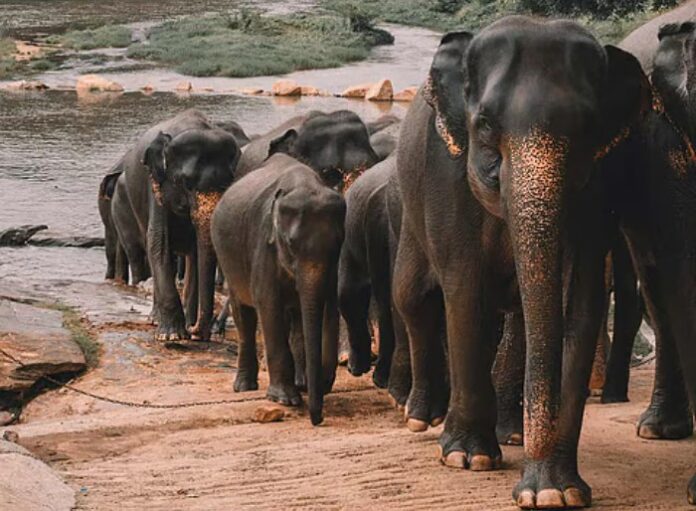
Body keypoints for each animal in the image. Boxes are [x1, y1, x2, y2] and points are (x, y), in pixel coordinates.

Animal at [116, 109, 241, 342]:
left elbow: (198, 253)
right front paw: (172, 336)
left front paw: (191, 332)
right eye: (186, 184)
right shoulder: (155, 185)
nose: (196, 330)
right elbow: (158, 243)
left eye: (228, 183)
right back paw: (156, 320)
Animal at [211, 153, 346, 426]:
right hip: (228, 257)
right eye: (291, 244)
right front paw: (285, 399)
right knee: (244, 312)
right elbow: (268, 304)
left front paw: (308, 387)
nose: (317, 419)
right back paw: (244, 387)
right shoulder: (263, 244)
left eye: (338, 242)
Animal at [392, 17, 650, 509]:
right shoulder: (445, 173)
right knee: (413, 297)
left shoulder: (600, 185)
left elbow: (579, 303)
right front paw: (468, 459)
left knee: (518, 317)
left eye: (587, 128)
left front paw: (554, 491)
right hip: (410, 211)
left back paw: (511, 433)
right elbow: (464, 292)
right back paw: (420, 419)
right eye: (485, 124)